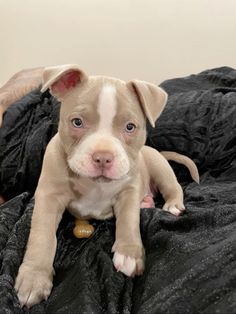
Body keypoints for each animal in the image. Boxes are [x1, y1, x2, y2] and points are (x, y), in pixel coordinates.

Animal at [14, 65, 199, 308]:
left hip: (159, 167)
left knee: (173, 187)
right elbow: (42, 236)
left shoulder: (129, 192)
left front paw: (130, 254)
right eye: (77, 122)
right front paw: (34, 278)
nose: (103, 157)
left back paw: (172, 205)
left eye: (130, 127)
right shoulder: (48, 196)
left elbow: (129, 221)